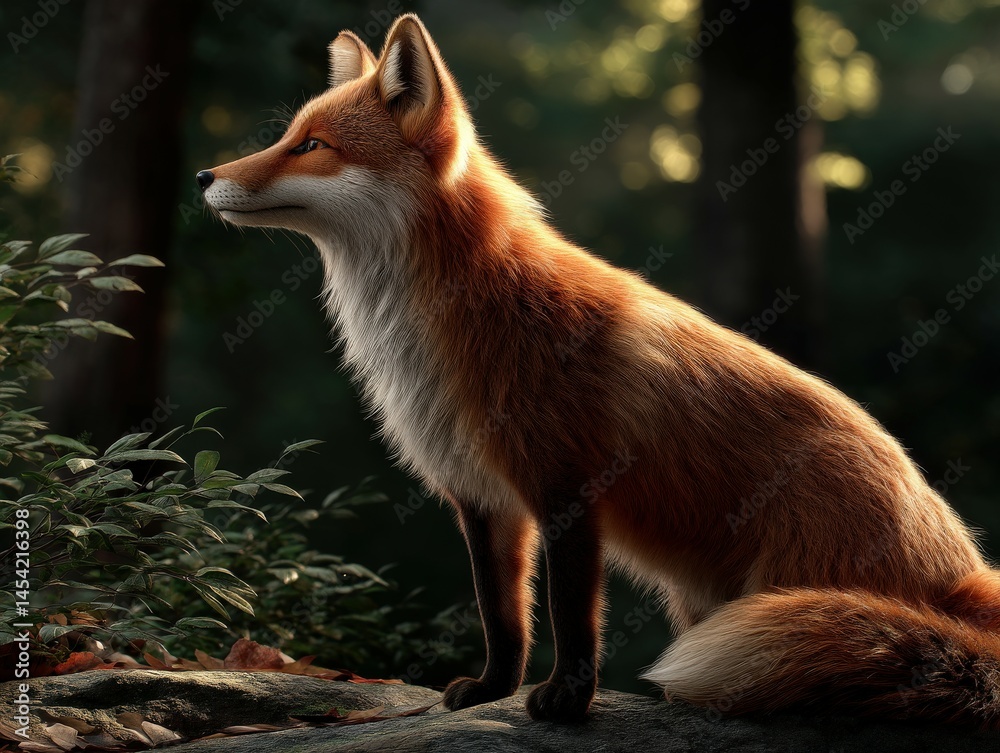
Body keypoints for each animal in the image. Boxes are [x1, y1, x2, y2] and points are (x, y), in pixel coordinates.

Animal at [198, 14, 1000, 727]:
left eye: (312, 146)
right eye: (286, 136)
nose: (204, 172)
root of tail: (961, 574)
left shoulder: (568, 487)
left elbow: (569, 614)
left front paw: (566, 702)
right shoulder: (479, 495)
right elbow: (502, 616)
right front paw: (493, 691)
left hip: (779, 589)